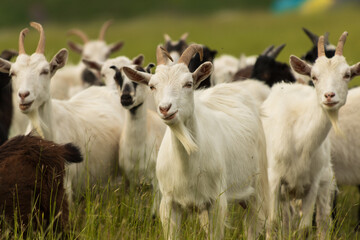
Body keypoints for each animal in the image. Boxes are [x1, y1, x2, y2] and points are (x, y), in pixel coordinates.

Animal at [122, 44, 268, 239]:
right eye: (152, 86)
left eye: (188, 84)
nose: (165, 108)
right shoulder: (168, 204)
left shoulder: (216, 202)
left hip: (257, 188)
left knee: (254, 225)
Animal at [262, 32, 360, 239]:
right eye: (314, 76)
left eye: (347, 75)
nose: (329, 96)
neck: (300, 140)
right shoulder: (274, 180)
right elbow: (272, 223)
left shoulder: (312, 184)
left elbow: (305, 228)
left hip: (324, 182)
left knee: (322, 221)